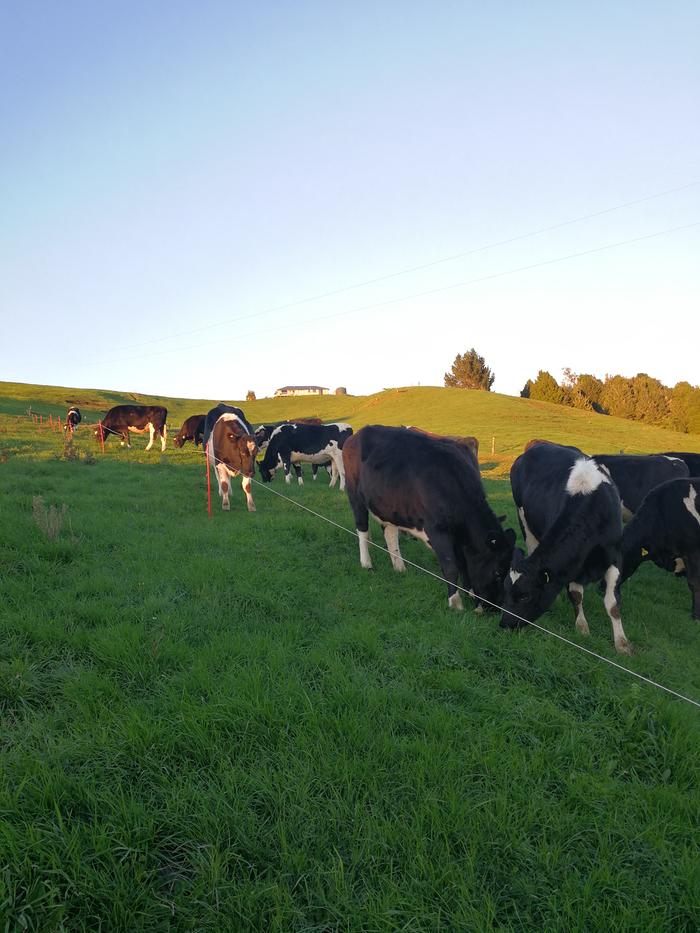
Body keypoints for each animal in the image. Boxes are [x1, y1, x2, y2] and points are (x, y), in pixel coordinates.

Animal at [342, 424, 516, 612]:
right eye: (497, 572)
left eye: (508, 571)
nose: (496, 607)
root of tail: (358, 434)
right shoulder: (436, 529)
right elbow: (451, 566)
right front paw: (455, 602)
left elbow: (463, 563)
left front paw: (468, 591)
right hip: (355, 496)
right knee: (362, 529)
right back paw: (366, 563)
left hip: (387, 504)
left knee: (390, 533)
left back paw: (399, 566)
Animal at [500, 438, 632, 652]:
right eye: (505, 590)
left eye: (525, 596)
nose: (505, 623)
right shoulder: (573, 563)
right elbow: (576, 595)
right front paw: (582, 628)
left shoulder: (614, 557)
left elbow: (612, 603)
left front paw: (622, 644)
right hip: (524, 519)